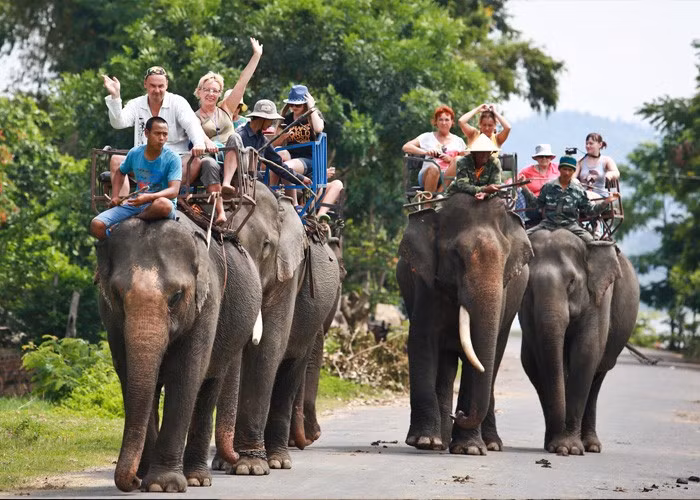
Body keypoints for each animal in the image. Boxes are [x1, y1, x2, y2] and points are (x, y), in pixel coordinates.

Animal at [95, 213, 262, 492]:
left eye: (175, 296)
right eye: (117, 295)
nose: (133, 481)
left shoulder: (208, 304)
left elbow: (185, 376)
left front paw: (162, 485)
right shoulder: (110, 318)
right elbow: (128, 375)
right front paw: (145, 478)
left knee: (209, 388)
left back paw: (197, 478)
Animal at [396, 193, 533, 455]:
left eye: (505, 259)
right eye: (456, 256)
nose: (458, 414)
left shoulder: (504, 291)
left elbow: (480, 357)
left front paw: (469, 449)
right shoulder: (425, 283)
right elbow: (422, 340)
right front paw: (425, 442)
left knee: (494, 359)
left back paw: (490, 444)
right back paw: (440, 442)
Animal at [518, 229, 639, 456]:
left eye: (572, 282)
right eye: (528, 285)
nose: (557, 447)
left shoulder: (599, 296)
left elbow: (586, 352)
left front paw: (570, 449)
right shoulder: (525, 308)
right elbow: (539, 358)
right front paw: (558, 445)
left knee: (598, 375)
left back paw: (591, 446)